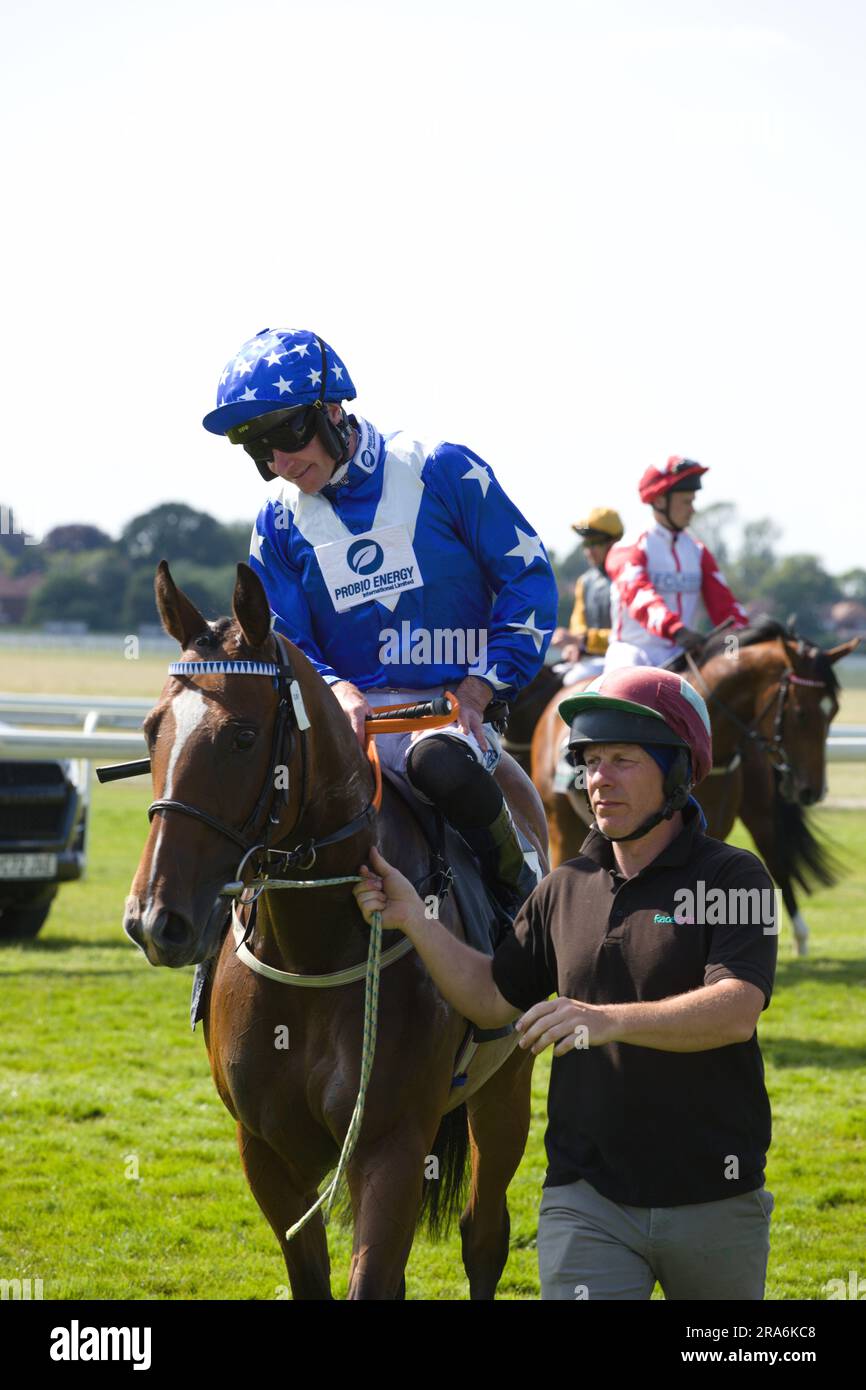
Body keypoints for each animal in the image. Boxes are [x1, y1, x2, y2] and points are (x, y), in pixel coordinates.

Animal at [123, 558, 547, 1295]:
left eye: (242, 736)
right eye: (152, 731)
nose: (155, 919)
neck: (311, 954)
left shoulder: (391, 1145)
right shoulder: (266, 1151)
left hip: (506, 1085)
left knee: (484, 1235)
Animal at [528, 622, 861, 956]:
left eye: (833, 711)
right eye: (801, 713)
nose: (812, 790)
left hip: (761, 810)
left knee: (775, 855)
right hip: (560, 822)